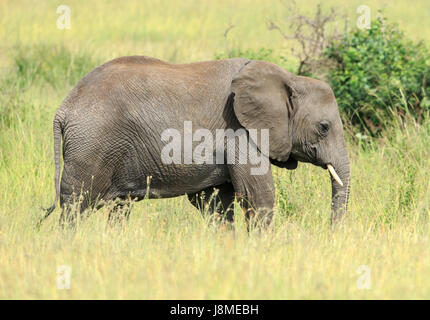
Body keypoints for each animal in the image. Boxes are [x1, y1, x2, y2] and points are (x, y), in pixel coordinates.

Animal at [42, 56, 350, 228]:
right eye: (323, 128)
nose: (330, 234)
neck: (288, 78)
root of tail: (64, 108)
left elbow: (216, 203)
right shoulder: (239, 130)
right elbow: (256, 194)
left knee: (119, 208)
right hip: (91, 145)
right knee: (75, 205)